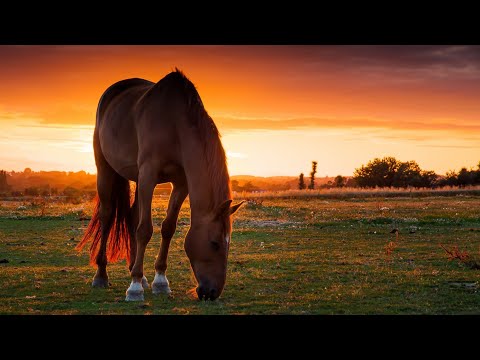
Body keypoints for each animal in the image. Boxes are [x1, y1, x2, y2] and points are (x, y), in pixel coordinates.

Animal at [78, 68, 248, 300]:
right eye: (214, 243)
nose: (212, 292)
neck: (174, 124)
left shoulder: (181, 183)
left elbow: (168, 227)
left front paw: (159, 281)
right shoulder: (149, 175)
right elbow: (144, 230)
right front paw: (134, 288)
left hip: (137, 178)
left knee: (132, 216)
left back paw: (138, 273)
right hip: (106, 169)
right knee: (107, 215)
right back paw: (102, 276)